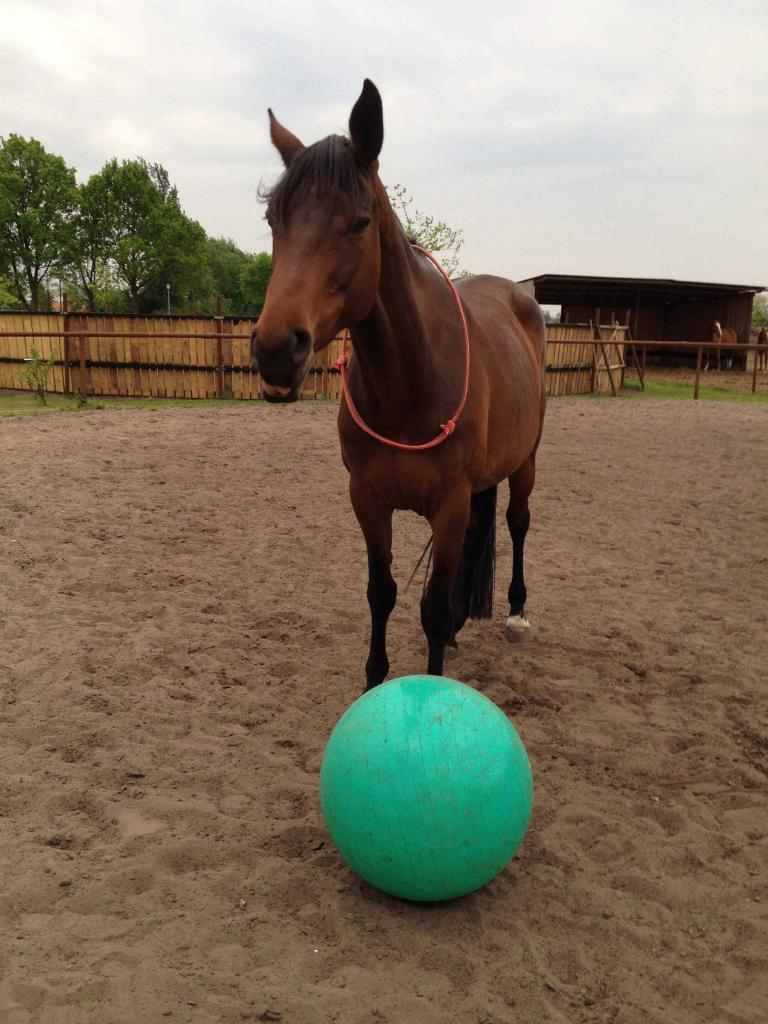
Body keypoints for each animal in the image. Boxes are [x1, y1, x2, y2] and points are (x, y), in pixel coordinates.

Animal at [252, 77, 548, 688]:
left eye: (359, 222)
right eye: (274, 220)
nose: (275, 351)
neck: (411, 381)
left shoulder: (450, 505)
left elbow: (429, 609)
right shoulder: (368, 499)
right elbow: (381, 593)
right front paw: (374, 679)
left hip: (526, 460)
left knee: (517, 521)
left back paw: (516, 613)